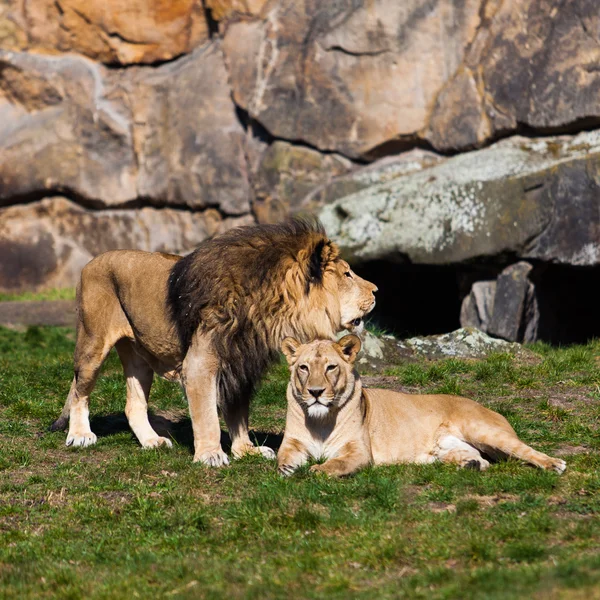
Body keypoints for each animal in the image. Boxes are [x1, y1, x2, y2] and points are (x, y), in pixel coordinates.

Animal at [52, 218, 380, 466]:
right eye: (347, 274)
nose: (377, 290)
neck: (268, 307)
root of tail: (93, 260)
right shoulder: (200, 363)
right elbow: (207, 413)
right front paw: (210, 454)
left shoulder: (242, 364)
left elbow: (238, 413)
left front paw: (245, 450)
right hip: (93, 344)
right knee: (80, 390)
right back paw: (80, 435)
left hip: (138, 357)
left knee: (133, 404)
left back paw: (152, 441)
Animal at [278, 336, 568, 476]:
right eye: (304, 368)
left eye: (331, 367)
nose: (315, 392)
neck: (320, 420)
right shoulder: (292, 442)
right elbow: (283, 457)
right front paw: (287, 469)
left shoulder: (360, 452)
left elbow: (336, 464)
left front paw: (317, 470)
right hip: (446, 448)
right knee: (481, 460)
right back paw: (469, 466)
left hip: (485, 431)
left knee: (524, 450)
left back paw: (555, 465)